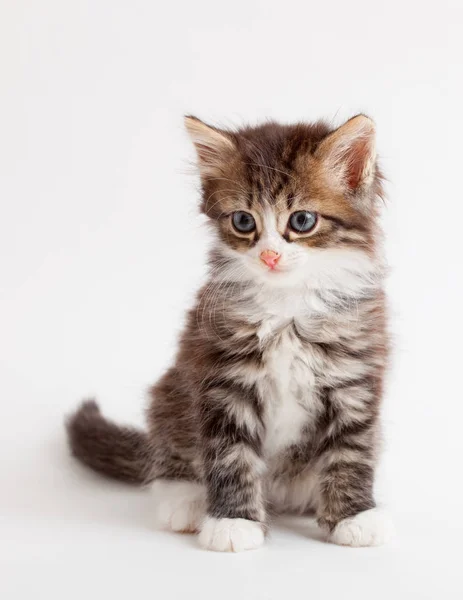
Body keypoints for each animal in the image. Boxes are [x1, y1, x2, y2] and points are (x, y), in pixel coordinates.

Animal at [67, 113, 394, 552]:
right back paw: (187, 501)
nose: (269, 256)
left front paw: (354, 516)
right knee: (169, 457)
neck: (286, 305)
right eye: (243, 221)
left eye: (302, 220)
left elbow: (351, 452)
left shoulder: (353, 381)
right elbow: (230, 456)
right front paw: (232, 522)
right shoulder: (224, 381)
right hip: (169, 395)